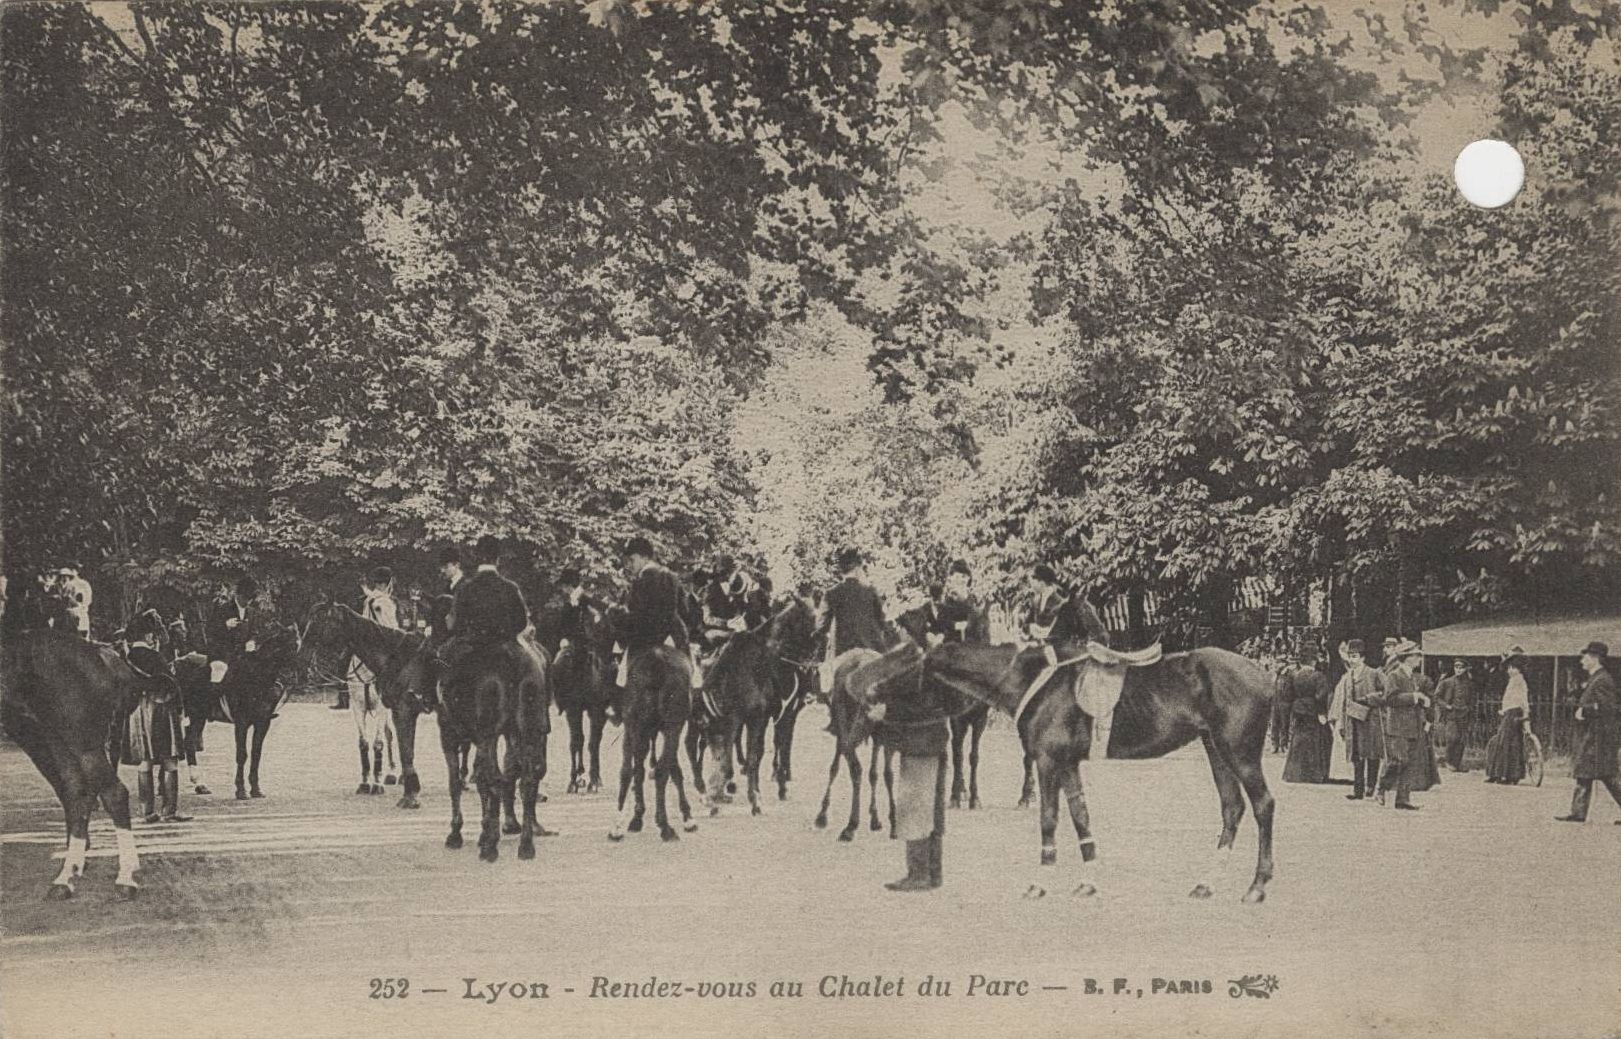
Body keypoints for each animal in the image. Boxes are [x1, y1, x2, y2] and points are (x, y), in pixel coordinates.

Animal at [0, 628, 142, 894]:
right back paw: (66, 876)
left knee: (114, 794)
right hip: (54, 739)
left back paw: (126, 876)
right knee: (76, 793)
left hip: (82, 743)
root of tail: (102, 653)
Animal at [927, 641, 1277, 901]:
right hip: (1216, 750)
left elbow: (1049, 819)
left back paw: (1257, 887)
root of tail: (1266, 677)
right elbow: (1080, 816)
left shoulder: (1047, 761)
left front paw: (1039, 883)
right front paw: (1087, 883)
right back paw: (1206, 884)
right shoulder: (1067, 764)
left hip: (1239, 753)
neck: (1036, 680)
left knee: (1263, 805)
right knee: (1232, 808)